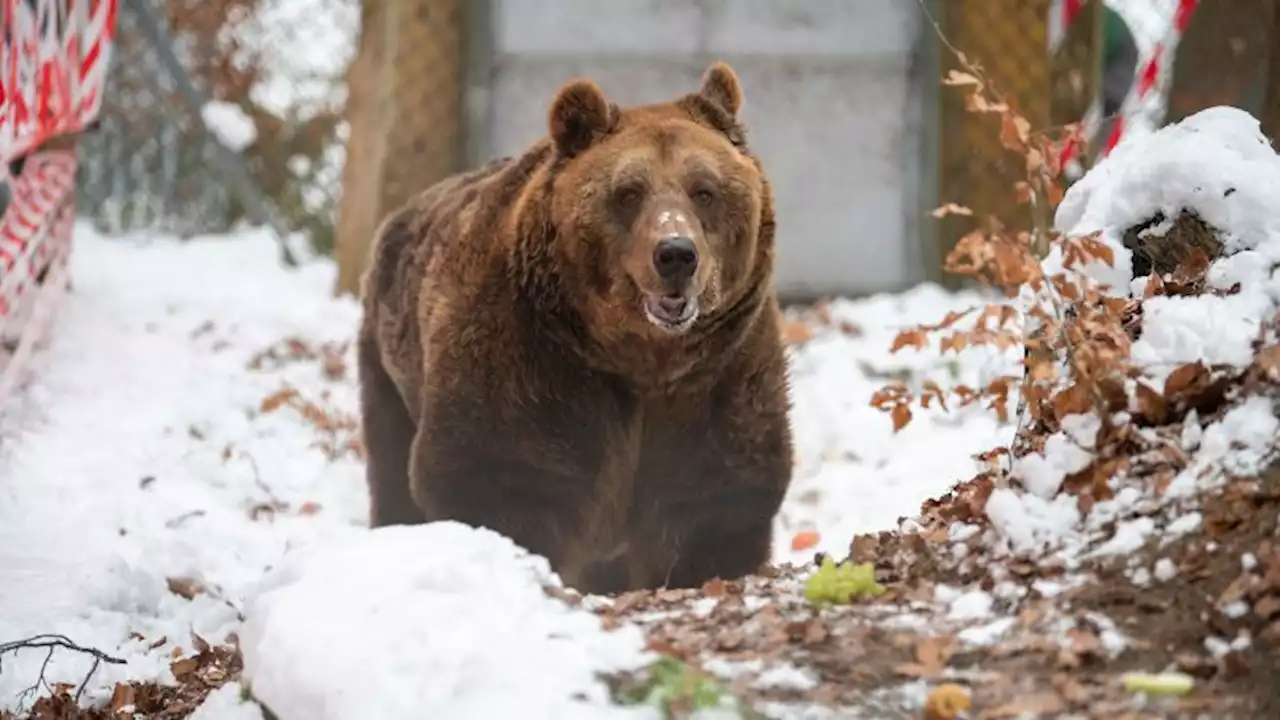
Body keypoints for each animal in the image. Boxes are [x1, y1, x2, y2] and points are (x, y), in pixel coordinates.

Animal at [353, 61, 788, 591]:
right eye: (628, 192)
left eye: (704, 190)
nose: (676, 254)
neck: (640, 358)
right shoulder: (530, 364)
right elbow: (500, 476)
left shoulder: (722, 370)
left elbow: (715, 496)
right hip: (389, 368)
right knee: (392, 470)